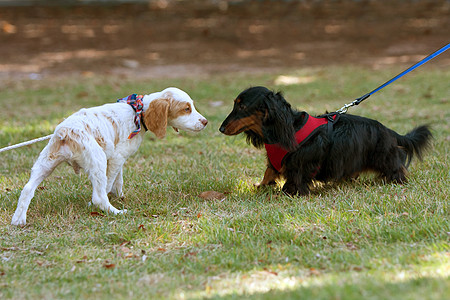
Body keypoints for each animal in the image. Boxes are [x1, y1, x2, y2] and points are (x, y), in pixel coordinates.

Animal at [11, 86, 207, 225]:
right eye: (186, 109)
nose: (205, 122)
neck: (138, 112)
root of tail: (65, 131)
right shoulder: (116, 158)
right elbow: (109, 183)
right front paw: (111, 201)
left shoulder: (117, 158)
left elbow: (118, 180)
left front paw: (119, 195)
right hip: (97, 160)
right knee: (98, 196)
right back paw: (116, 212)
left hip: (45, 162)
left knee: (27, 188)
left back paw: (18, 220)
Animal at [219, 85, 432, 196]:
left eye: (242, 106)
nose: (221, 128)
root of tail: (388, 130)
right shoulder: (276, 162)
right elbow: (269, 171)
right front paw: (261, 186)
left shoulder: (299, 164)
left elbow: (294, 178)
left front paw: (288, 192)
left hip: (384, 157)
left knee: (397, 169)